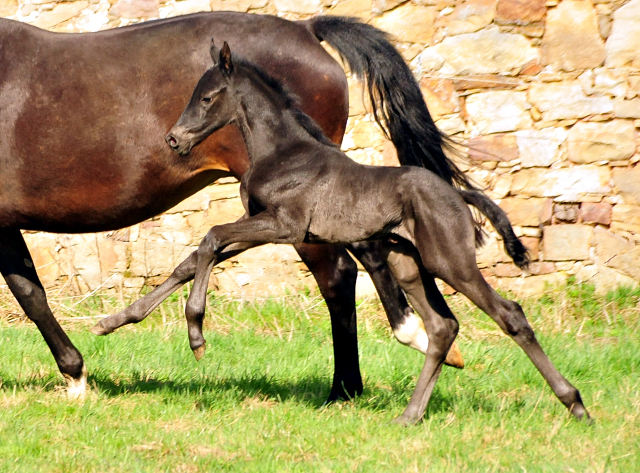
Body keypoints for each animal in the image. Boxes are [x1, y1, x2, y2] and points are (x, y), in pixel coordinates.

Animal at [165, 41, 592, 424]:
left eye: (207, 97)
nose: (174, 138)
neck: (284, 153)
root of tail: (456, 193)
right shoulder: (264, 224)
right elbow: (204, 250)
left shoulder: (286, 225)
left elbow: (212, 236)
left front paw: (196, 336)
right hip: (408, 264)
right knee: (443, 327)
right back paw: (410, 416)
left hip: (450, 263)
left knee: (509, 314)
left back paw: (576, 405)